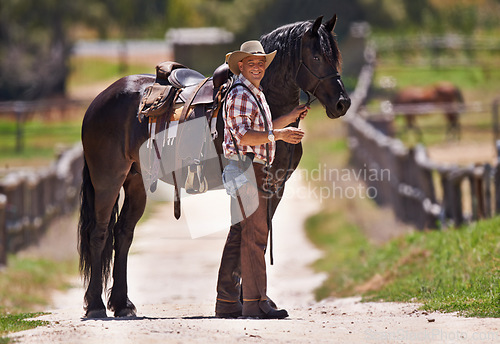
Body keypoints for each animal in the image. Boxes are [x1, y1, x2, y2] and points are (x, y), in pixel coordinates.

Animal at [80, 15, 350, 318]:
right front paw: (244, 303)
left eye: (335, 56)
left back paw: (122, 304)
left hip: (136, 180)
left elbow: (255, 233)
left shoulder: (276, 186)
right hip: (108, 179)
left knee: (123, 233)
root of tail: (100, 99)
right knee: (99, 232)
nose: (343, 103)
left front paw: (253, 302)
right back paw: (95, 305)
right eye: (316, 56)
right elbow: (246, 233)